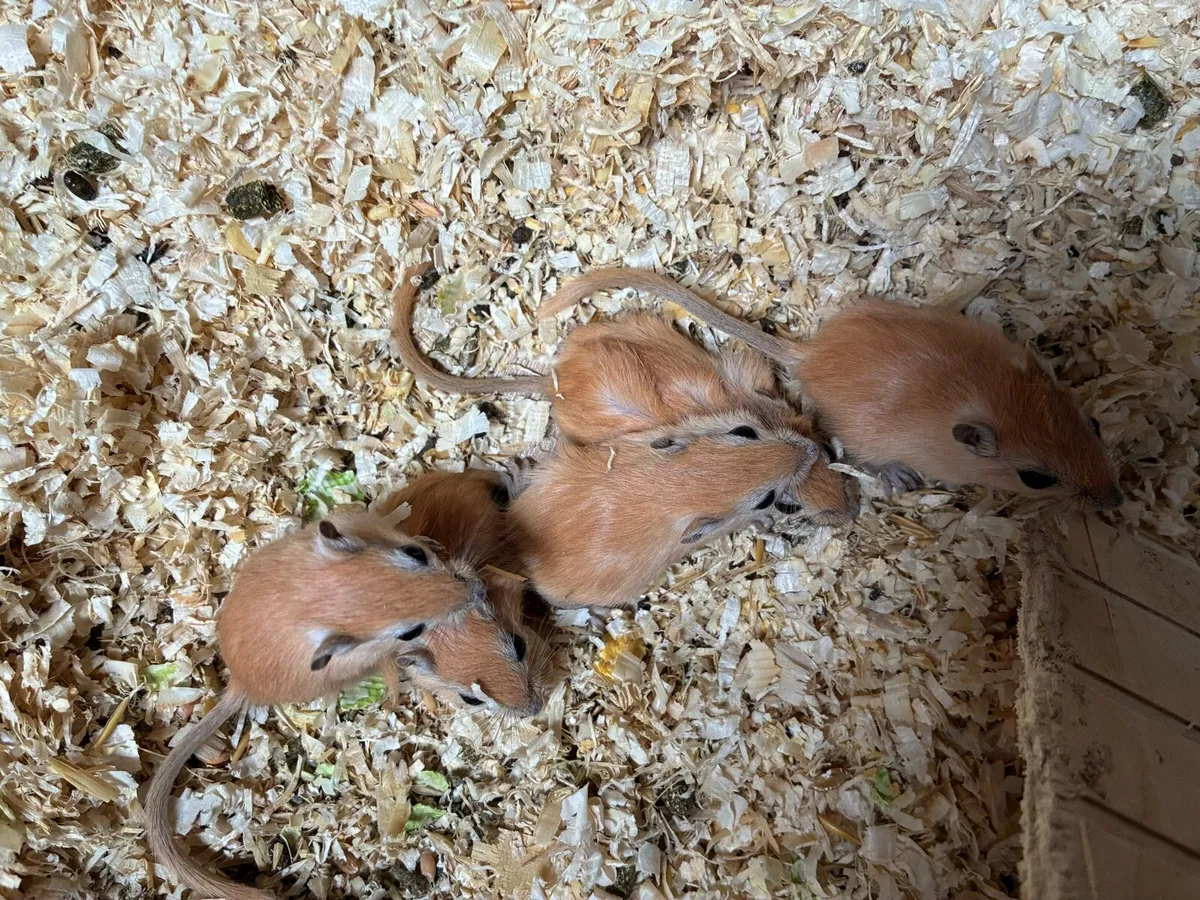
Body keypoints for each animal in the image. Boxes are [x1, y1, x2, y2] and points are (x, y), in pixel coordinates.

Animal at [507, 411, 821, 608]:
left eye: (745, 431)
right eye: (765, 500)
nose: (814, 449)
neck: (682, 486)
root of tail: (518, 547)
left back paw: (516, 468)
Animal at [540, 267, 1124, 508]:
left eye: (1096, 424)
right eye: (1036, 479)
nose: (1116, 502)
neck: (994, 396)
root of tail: (810, 354)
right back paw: (898, 478)